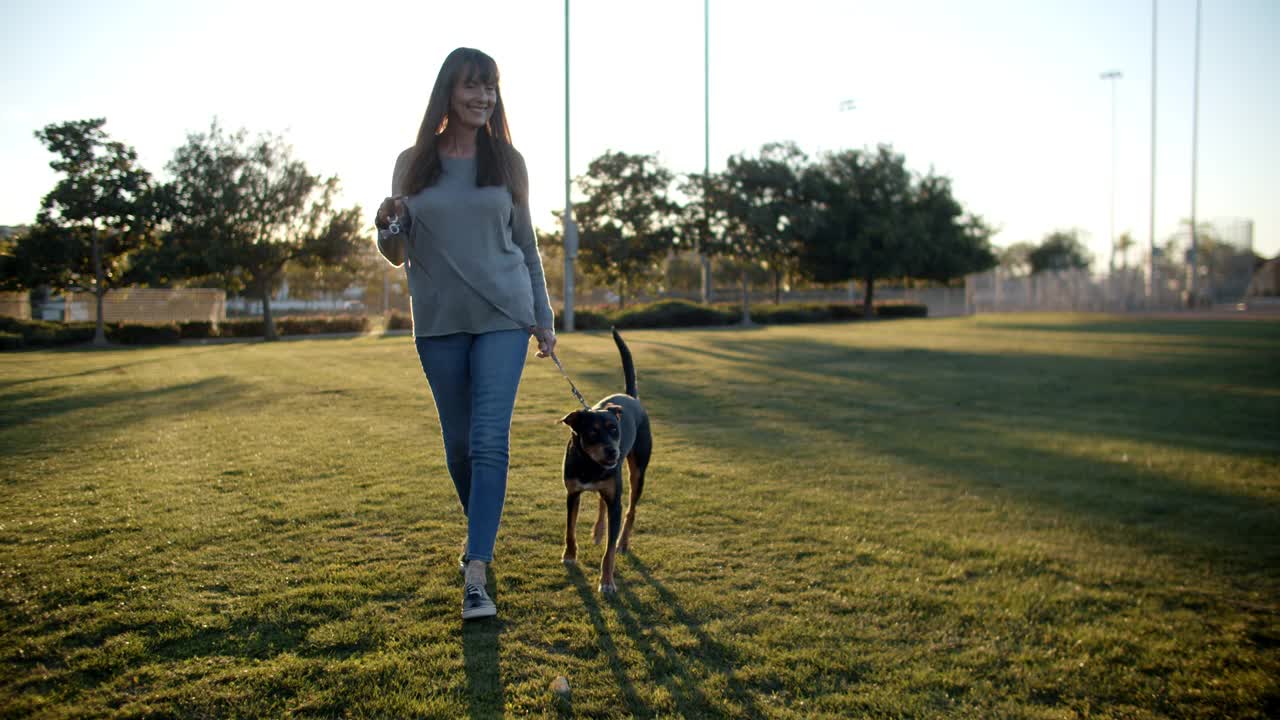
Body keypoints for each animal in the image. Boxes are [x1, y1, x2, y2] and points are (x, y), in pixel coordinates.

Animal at [558, 327, 650, 591]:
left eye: (614, 430)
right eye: (592, 433)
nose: (612, 452)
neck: (590, 464)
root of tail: (631, 397)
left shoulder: (615, 501)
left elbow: (608, 552)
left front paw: (607, 581)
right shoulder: (572, 493)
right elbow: (570, 529)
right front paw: (569, 556)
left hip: (638, 472)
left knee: (630, 509)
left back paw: (623, 542)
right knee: (602, 502)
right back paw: (599, 531)